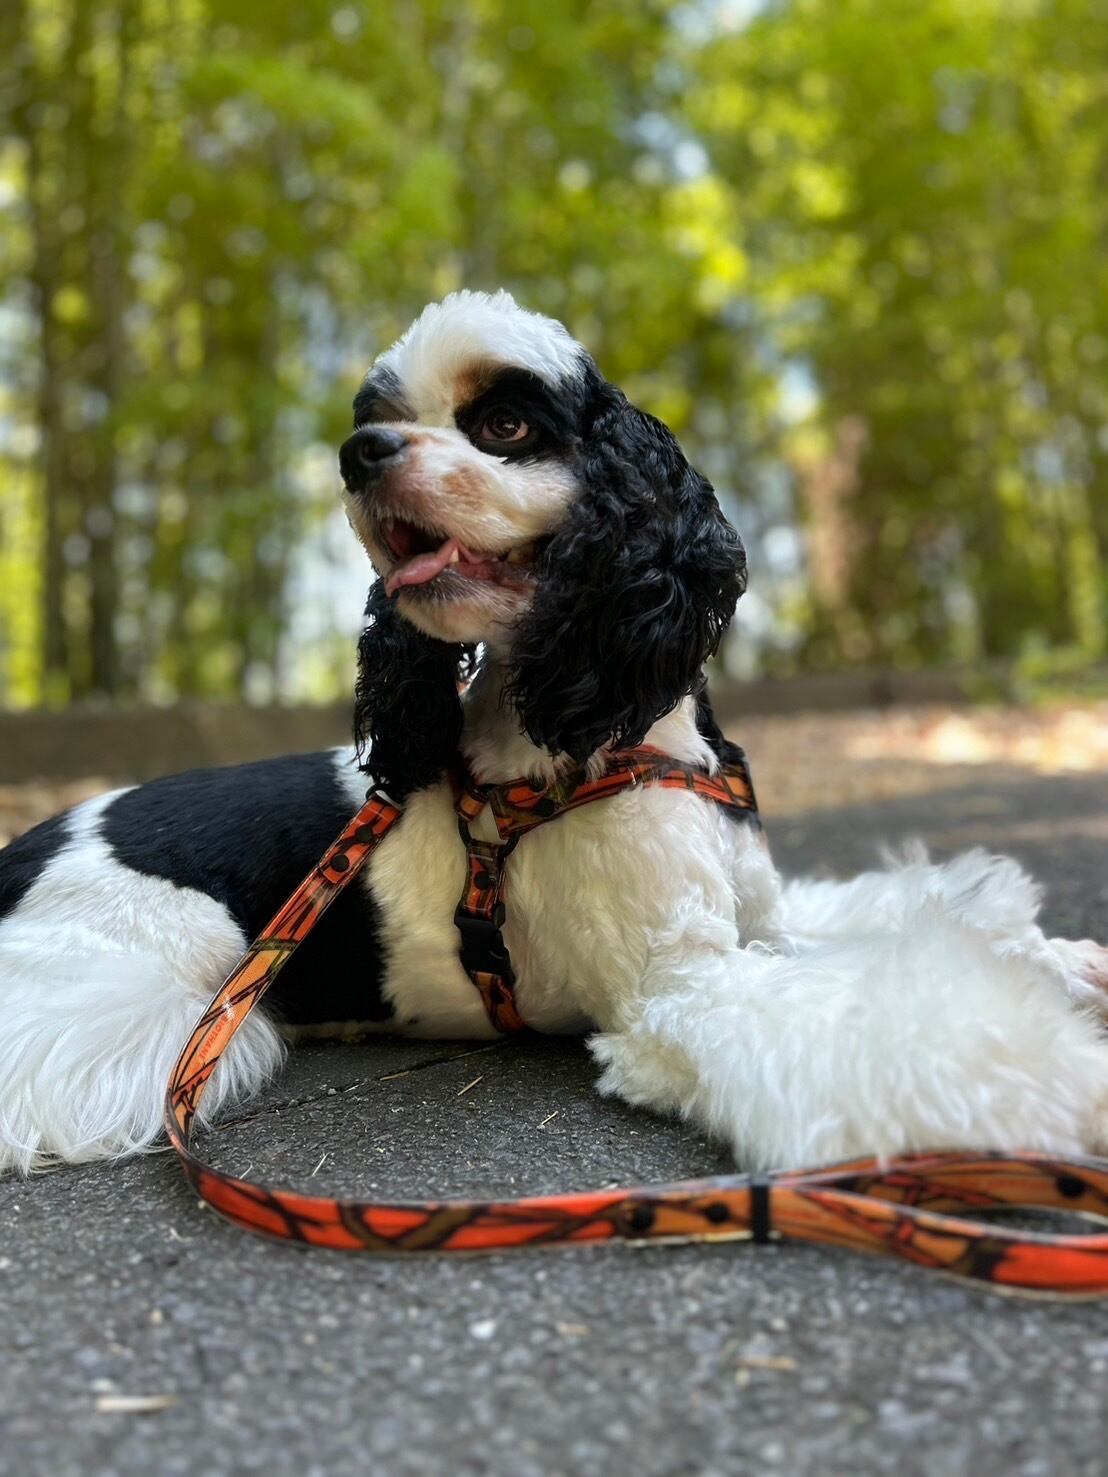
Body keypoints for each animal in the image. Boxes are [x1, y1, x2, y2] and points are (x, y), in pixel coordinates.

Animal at [2, 288, 1107, 1179]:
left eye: (502, 422)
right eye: (381, 421)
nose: (358, 455)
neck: (619, 729)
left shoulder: (765, 917)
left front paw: (1065, 959)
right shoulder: (684, 987)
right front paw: (1076, 1080)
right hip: (149, 987)